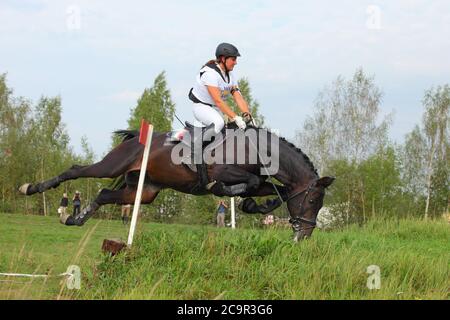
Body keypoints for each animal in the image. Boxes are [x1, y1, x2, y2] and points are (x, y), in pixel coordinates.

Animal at [18, 125, 334, 240]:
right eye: (313, 201)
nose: (305, 234)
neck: (256, 148)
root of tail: (134, 138)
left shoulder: (260, 181)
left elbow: (274, 190)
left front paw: (257, 205)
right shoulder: (225, 172)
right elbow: (248, 182)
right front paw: (229, 194)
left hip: (145, 190)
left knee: (106, 194)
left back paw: (75, 219)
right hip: (112, 166)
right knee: (77, 170)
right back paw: (34, 189)